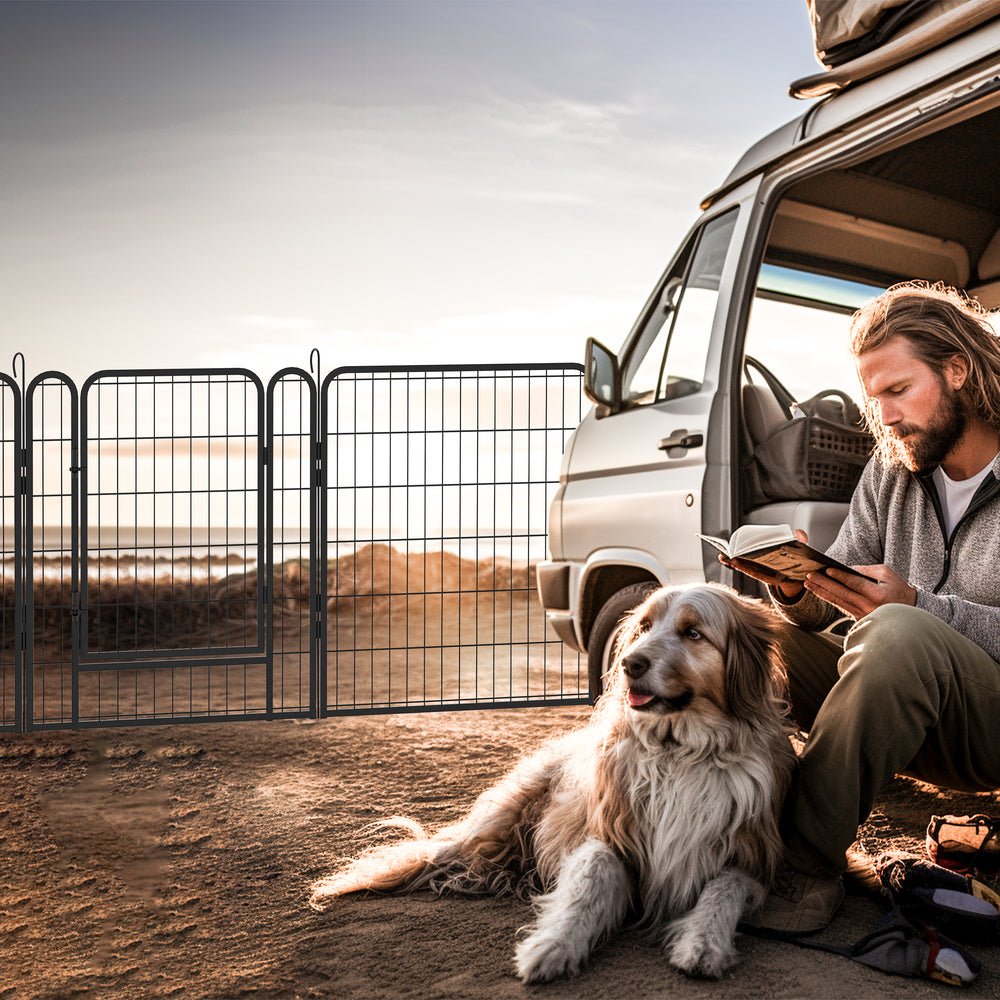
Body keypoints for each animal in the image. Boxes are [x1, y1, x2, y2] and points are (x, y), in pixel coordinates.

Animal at [308, 584, 792, 980]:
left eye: (693, 633)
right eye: (645, 626)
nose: (628, 663)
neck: (680, 751)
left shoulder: (751, 858)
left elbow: (722, 891)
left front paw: (703, 944)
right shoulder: (608, 836)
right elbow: (589, 883)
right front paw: (552, 945)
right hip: (507, 815)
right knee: (437, 850)